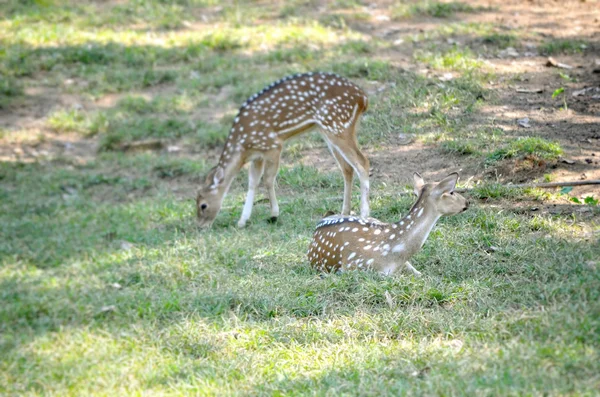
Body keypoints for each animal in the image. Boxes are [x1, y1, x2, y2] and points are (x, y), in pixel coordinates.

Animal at [196, 71, 370, 227]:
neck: (243, 146)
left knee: (362, 162)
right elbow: (252, 182)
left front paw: (274, 215)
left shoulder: (273, 144)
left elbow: (268, 179)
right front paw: (242, 221)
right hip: (330, 131)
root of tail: (363, 98)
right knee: (347, 168)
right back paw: (344, 212)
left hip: (337, 125)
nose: (200, 226)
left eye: (203, 205)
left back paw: (364, 214)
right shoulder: (257, 155)